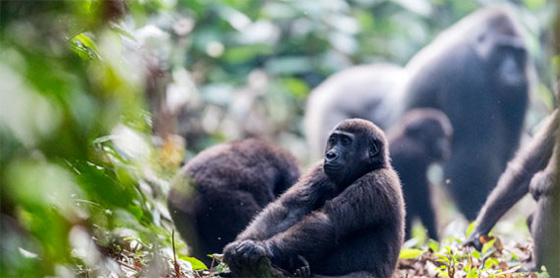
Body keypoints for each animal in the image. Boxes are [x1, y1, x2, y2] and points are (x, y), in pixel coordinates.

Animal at [222, 119, 402, 278]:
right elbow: (289, 209)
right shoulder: (319, 170)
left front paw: (263, 248)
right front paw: (240, 244)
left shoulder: (376, 183)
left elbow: (328, 221)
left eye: (345, 142)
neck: (370, 167)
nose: (330, 155)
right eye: (333, 140)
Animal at [390, 107, 456, 240]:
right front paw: (435, 240)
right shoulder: (416, 158)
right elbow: (424, 205)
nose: (445, 146)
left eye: (446, 136)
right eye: (439, 135)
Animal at [402, 7, 528, 219]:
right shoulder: (465, 70)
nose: (513, 72)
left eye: (518, 53)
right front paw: (478, 213)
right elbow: (472, 159)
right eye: (502, 50)